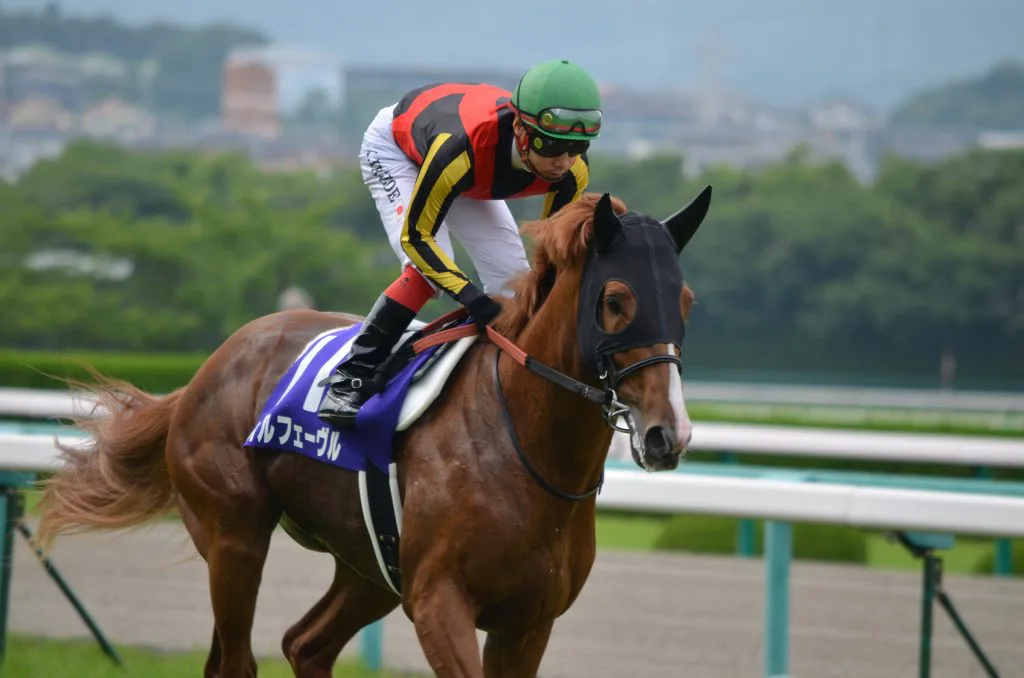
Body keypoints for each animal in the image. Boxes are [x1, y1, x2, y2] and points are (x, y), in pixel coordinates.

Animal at [36, 187, 712, 678]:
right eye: (616, 301)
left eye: (685, 301)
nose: (667, 434)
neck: (523, 448)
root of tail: (210, 366)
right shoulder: (439, 601)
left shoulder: (528, 621)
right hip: (233, 538)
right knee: (236, 661)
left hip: (368, 565)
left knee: (305, 644)